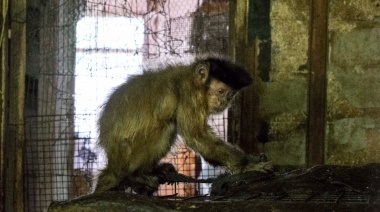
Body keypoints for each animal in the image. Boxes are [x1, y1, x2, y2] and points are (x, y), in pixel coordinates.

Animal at [94, 55, 274, 195]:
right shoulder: (189, 96)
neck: (192, 80)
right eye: (221, 91)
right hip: (127, 154)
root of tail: (113, 161)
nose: (223, 102)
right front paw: (246, 165)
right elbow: (197, 136)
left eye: (230, 95)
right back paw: (135, 175)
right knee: (168, 127)